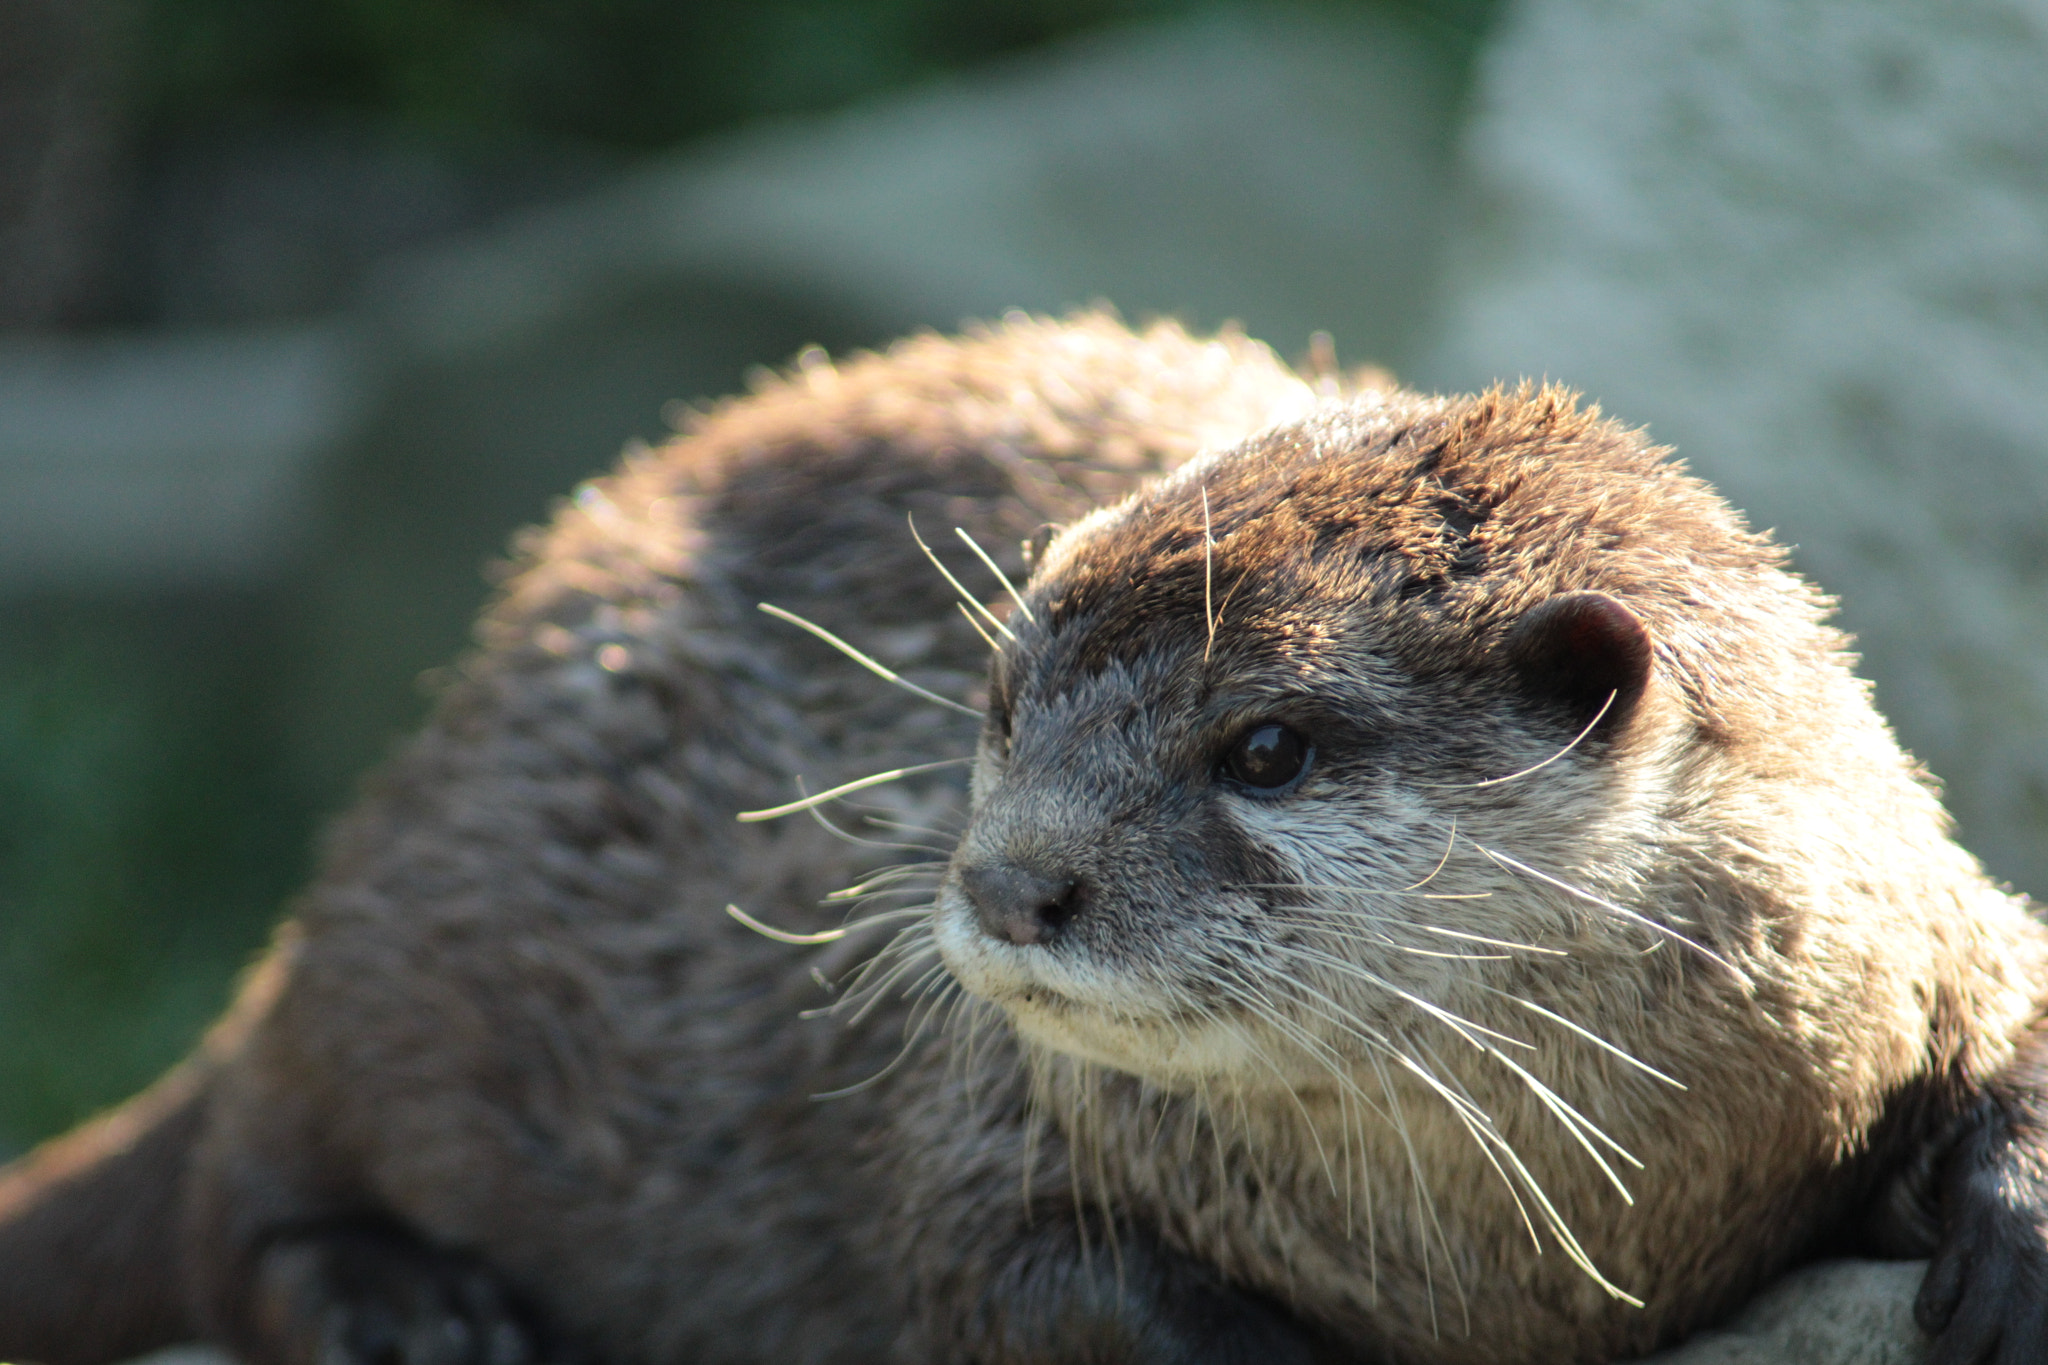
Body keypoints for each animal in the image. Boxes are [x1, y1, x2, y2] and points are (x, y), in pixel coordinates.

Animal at [4, 315, 2048, 1365]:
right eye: (997, 707)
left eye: (1267, 745)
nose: (1009, 883)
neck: (1532, 1244)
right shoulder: (984, 1145)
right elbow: (1017, 1288)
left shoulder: (1925, 928)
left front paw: (2011, 1242)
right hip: (427, 931)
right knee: (241, 1180)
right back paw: (411, 1309)